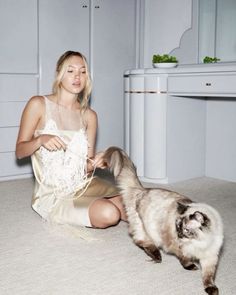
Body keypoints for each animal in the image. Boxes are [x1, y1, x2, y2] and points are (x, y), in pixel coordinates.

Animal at [104, 147, 224, 295]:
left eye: (186, 229)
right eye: (177, 226)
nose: (179, 234)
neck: (200, 244)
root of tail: (142, 190)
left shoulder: (210, 257)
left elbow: (208, 276)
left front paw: (211, 289)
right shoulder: (177, 247)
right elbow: (185, 259)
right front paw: (191, 266)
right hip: (148, 230)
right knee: (141, 242)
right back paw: (157, 258)